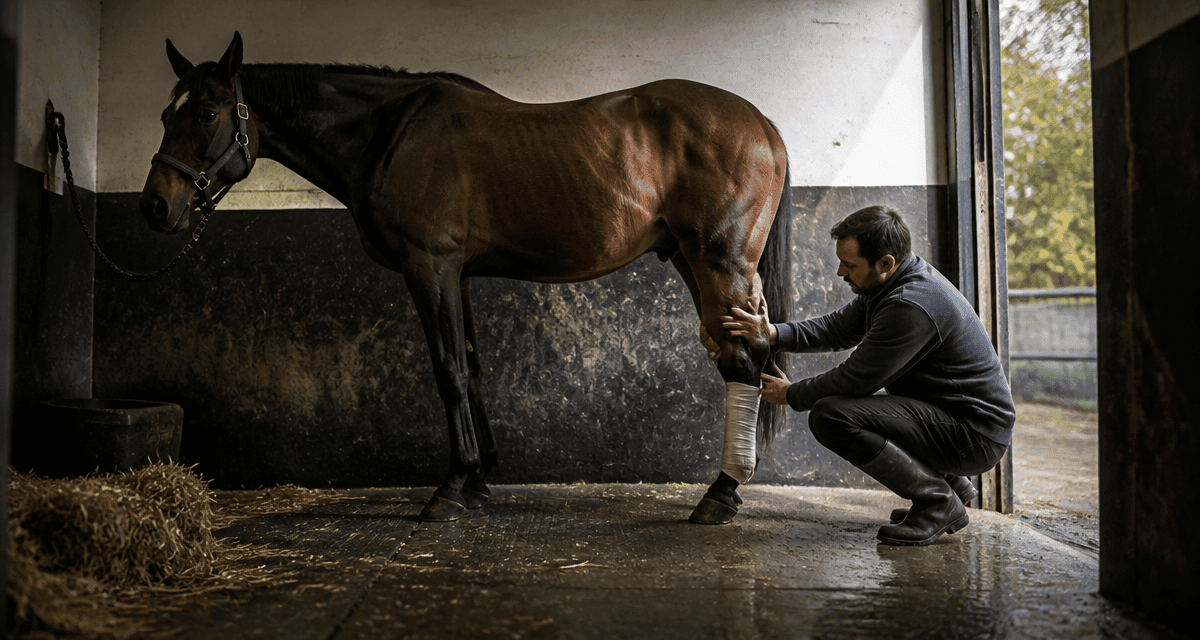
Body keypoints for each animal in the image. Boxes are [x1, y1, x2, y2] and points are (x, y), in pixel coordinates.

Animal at [139, 32, 794, 525]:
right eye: (166, 114)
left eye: (205, 113)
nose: (155, 207)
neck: (388, 133)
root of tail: (761, 120)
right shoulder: (458, 274)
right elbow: (472, 367)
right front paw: (479, 478)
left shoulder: (429, 265)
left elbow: (448, 372)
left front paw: (450, 488)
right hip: (691, 259)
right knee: (749, 353)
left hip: (718, 260)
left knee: (742, 359)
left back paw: (720, 495)